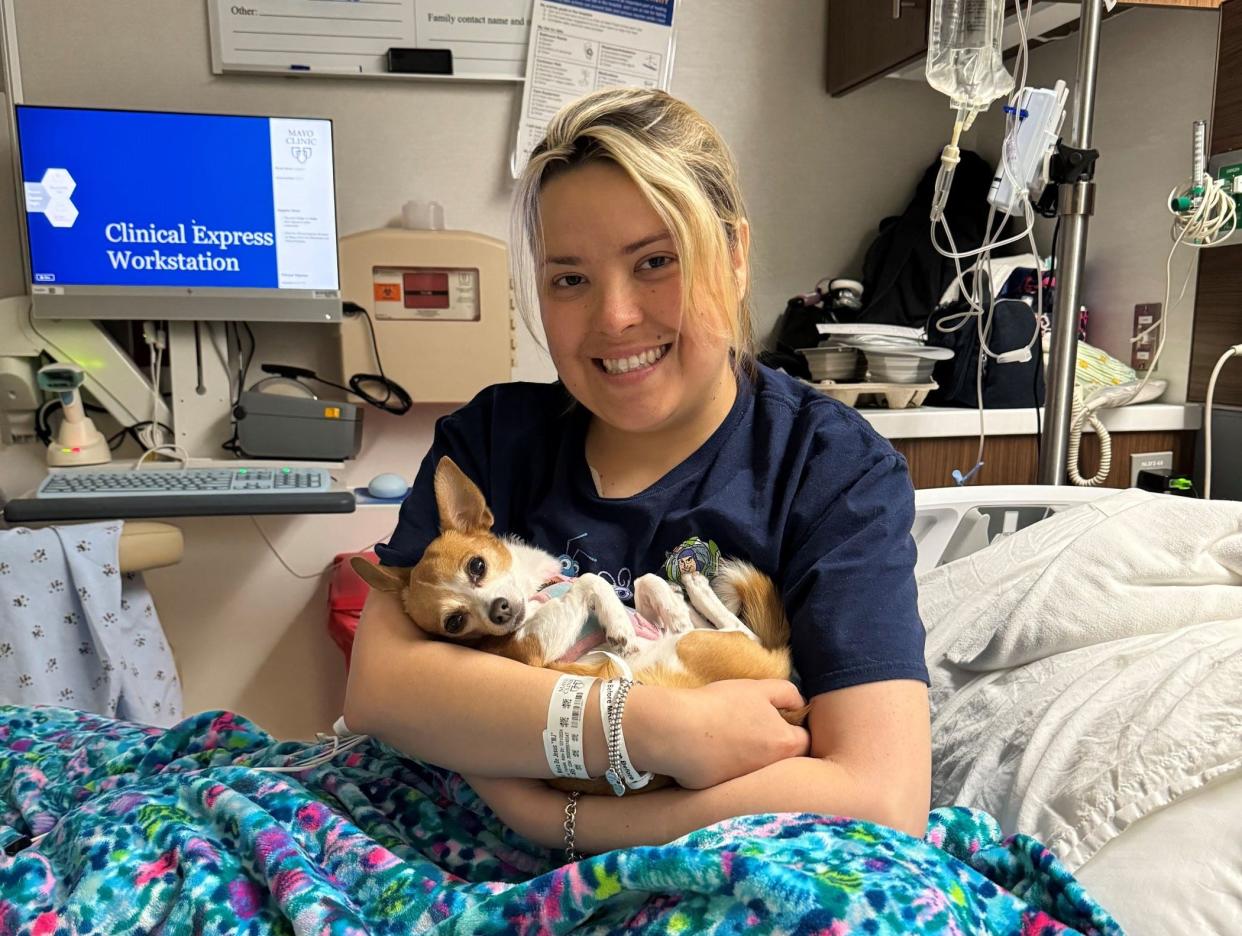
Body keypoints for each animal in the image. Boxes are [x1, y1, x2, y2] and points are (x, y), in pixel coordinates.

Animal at [355, 456, 809, 789]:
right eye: (454, 622)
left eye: (477, 566)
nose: (501, 611)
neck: (538, 592)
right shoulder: (530, 649)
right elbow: (593, 581)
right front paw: (618, 622)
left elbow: (644, 582)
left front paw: (667, 604)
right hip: (700, 648)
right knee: (739, 632)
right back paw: (697, 590)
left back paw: (689, 595)